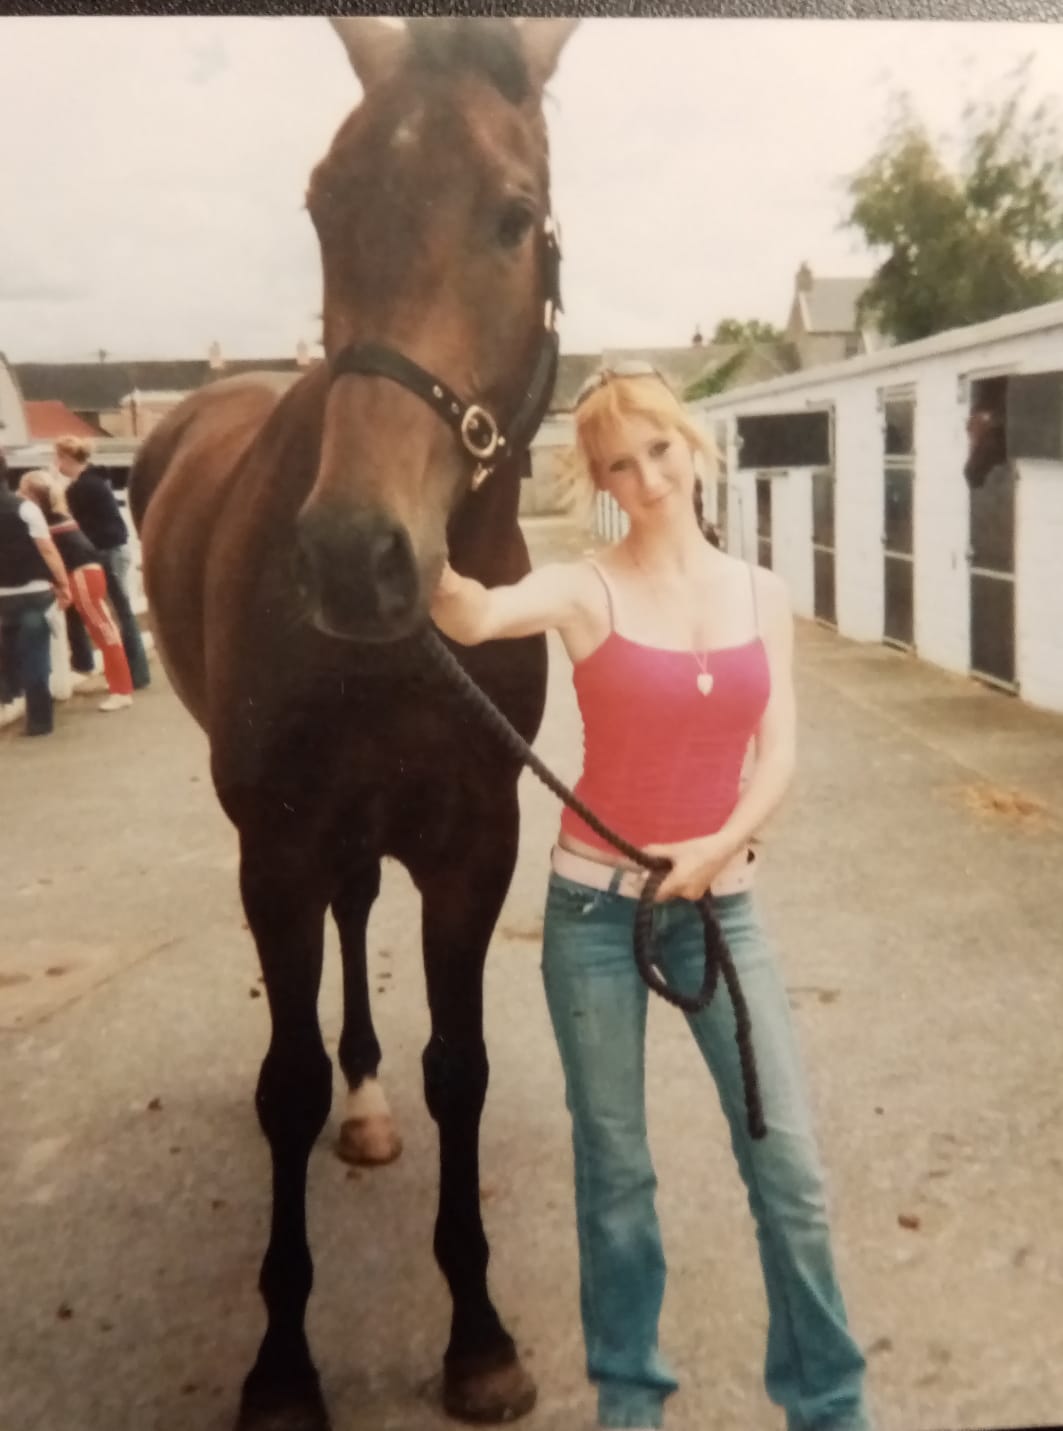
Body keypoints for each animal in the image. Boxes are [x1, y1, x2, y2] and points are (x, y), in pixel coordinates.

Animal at [128, 17, 578, 1429]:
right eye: (325, 207)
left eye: (513, 216)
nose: (353, 558)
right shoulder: (274, 844)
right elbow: (283, 1085)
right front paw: (281, 1366)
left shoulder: (473, 844)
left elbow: (462, 1067)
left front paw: (478, 1337)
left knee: (359, 914)